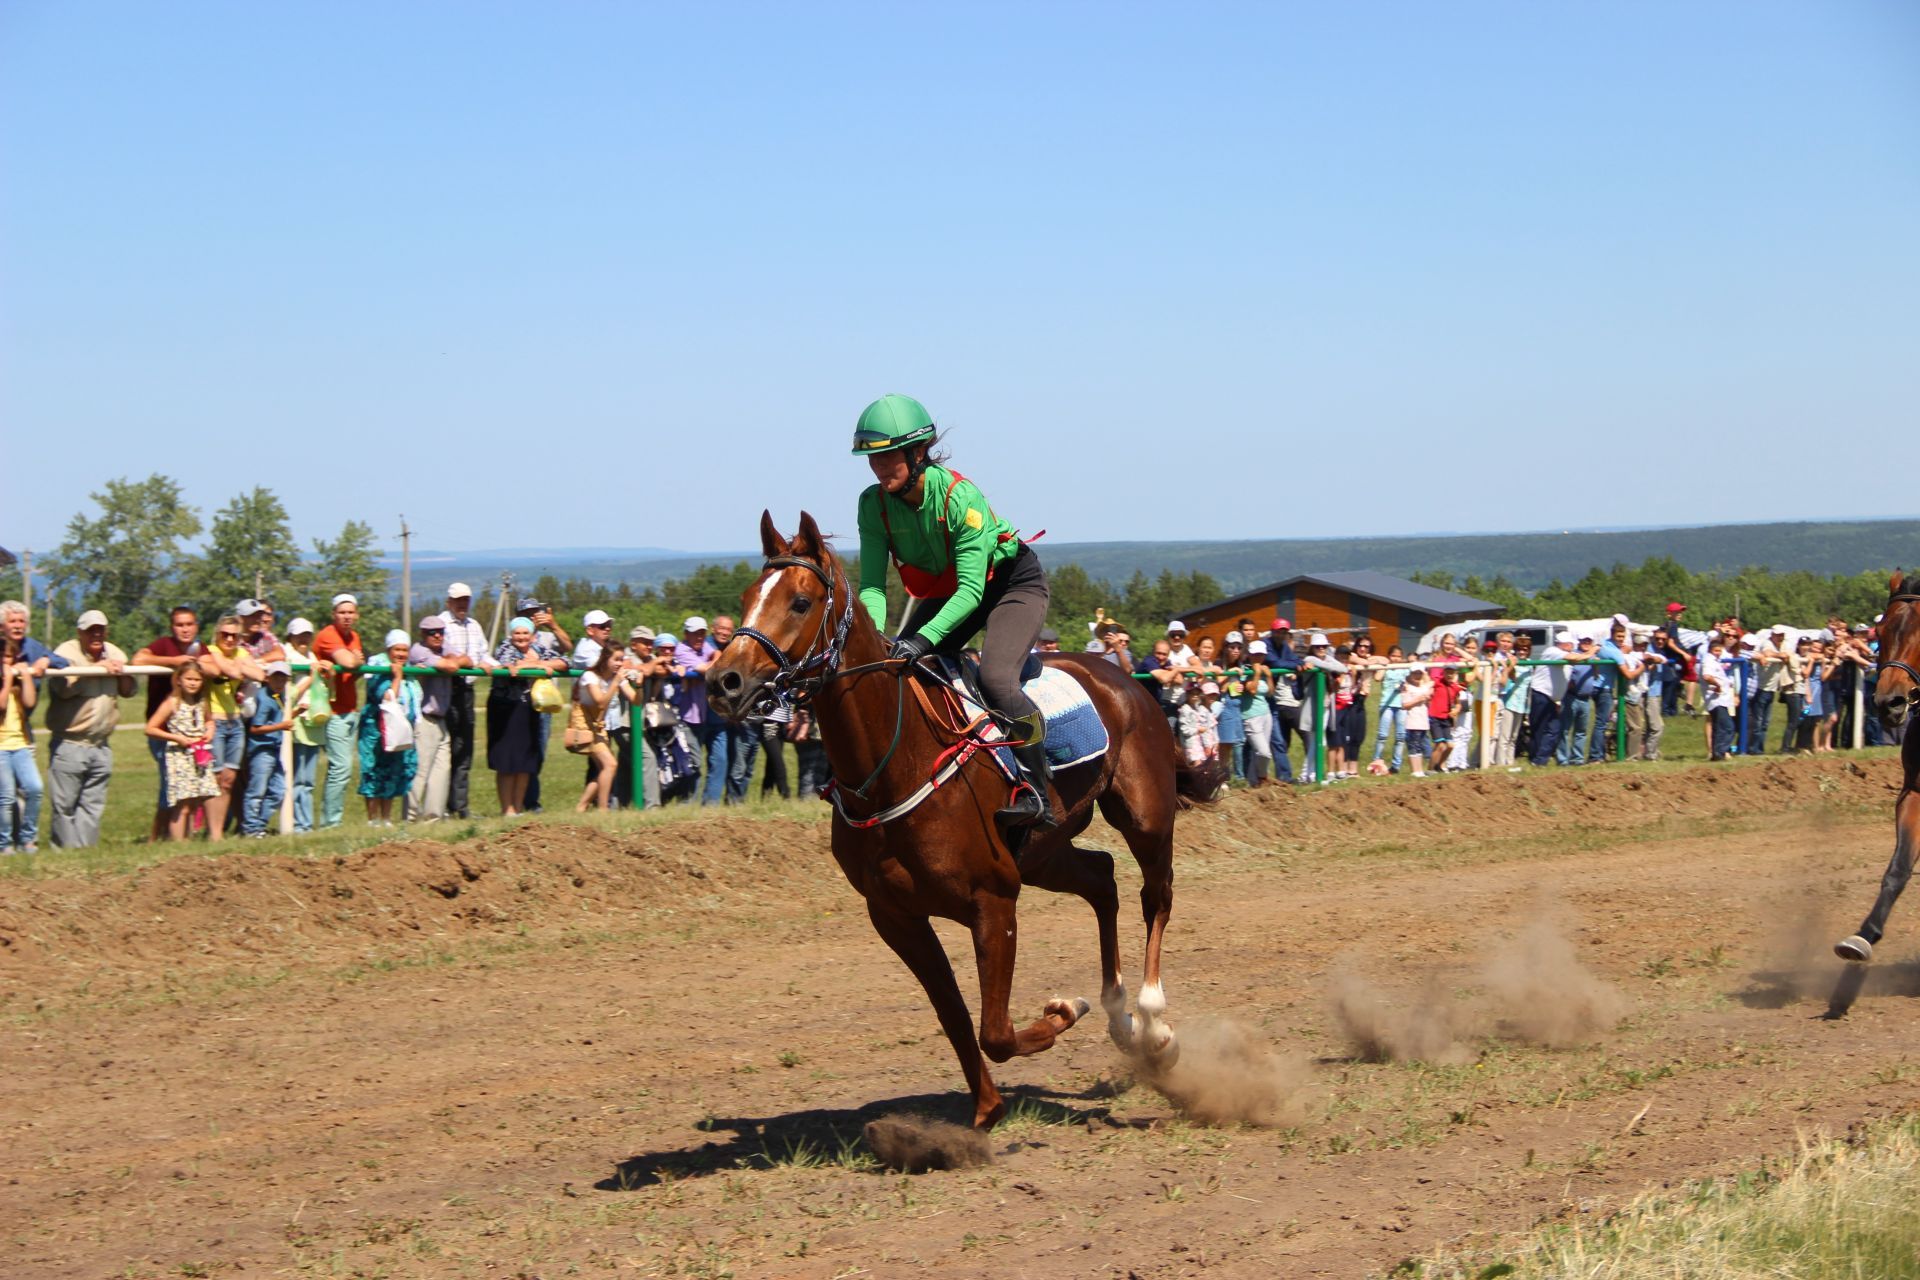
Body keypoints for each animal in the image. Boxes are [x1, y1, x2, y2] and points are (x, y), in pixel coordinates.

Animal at [706, 514, 1213, 1128]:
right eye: (745, 598)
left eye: (800, 603)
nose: (724, 681)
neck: (893, 763)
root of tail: (1128, 678)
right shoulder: (896, 917)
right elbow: (953, 1015)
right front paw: (985, 1111)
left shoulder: (992, 900)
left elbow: (995, 1031)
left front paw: (1065, 1012)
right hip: (1043, 853)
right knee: (1102, 879)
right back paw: (1120, 1019)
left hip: (1145, 816)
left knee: (1155, 897)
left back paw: (1154, 1026)